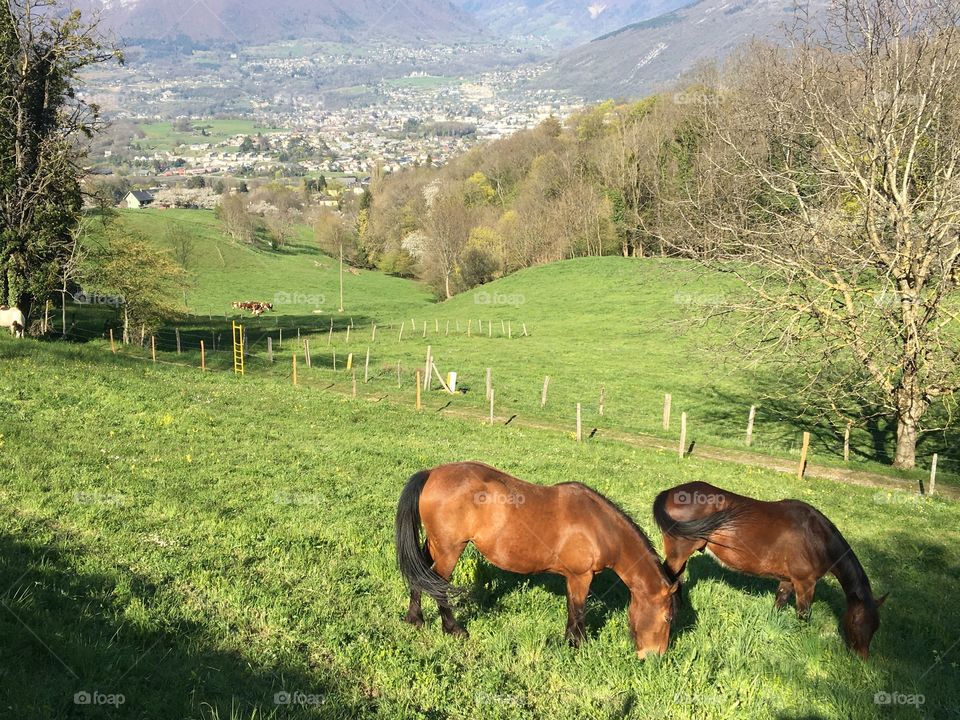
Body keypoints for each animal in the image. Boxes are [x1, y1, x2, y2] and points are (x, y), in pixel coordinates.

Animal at [395, 462, 678, 657]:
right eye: (667, 618)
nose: (655, 657)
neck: (599, 526)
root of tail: (431, 473)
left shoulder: (572, 577)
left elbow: (571, 609)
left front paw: (569, 642)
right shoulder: (581, 577)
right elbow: (578, 611)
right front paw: (579, 645)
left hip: (433, 545)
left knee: (420, 576)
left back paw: (415, 620)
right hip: (449, 549)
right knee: (439, 585)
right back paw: (453, 629)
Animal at [652, 481, 886, 659]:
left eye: (876, 626)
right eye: (856, 621)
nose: (861, 657)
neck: (816, 538)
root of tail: (670, 492)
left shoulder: (788, 580)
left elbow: (779, 603)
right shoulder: (805, 583)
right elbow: (803, 614)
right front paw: (804, 640)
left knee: (678, 579)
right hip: (679, 551)